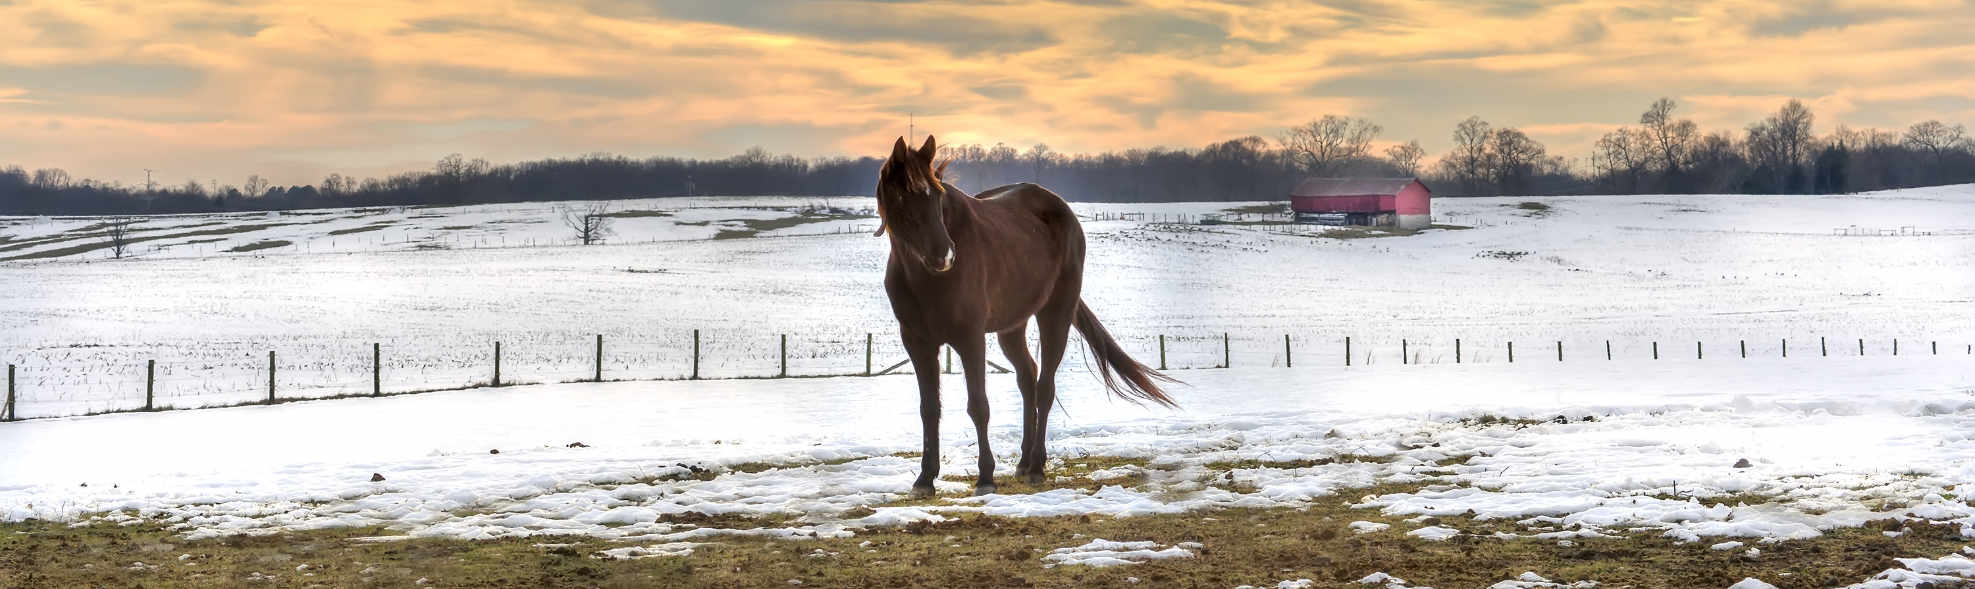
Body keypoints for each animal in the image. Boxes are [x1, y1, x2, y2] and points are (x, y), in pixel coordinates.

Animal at [876, 134, 1169, 496]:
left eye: (938, 196)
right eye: (904, 196)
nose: (944, 256)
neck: (923, 277)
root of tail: (1062, 210)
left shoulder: (970, 338)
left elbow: (978, 406)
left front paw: (985, 477)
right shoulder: (917, 342)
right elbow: (929, 409)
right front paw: (925, 479)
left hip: (1055, 315)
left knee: (1044, 387)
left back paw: (1037, 467)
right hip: (1012, 327)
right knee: (1028, 378)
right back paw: (1024, 462)